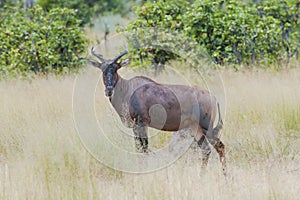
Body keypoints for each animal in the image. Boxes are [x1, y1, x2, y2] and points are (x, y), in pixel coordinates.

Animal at [89, 47, 227, 174]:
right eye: (103, 69)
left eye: (116, 69)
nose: (109, 90)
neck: (129, 89)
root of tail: (213, 97)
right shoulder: (135, 126)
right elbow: (138, 147)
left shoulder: (142, 123)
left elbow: (144, 148)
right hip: (195, 128)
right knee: (206, 150)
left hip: (206, 127)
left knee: (219, 146)